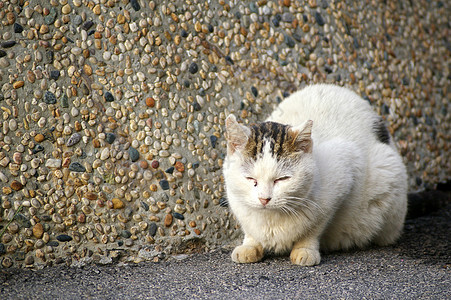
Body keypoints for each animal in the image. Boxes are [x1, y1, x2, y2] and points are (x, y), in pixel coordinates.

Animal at [223, 84, 410, 264]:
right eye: (250, 179)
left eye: (282, 179)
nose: (264, 199)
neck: (271, 219)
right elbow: (250, 230)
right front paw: (250, 245)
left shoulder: (344, 171)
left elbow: (314, 228)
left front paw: (304, 250)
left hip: (388, 173)